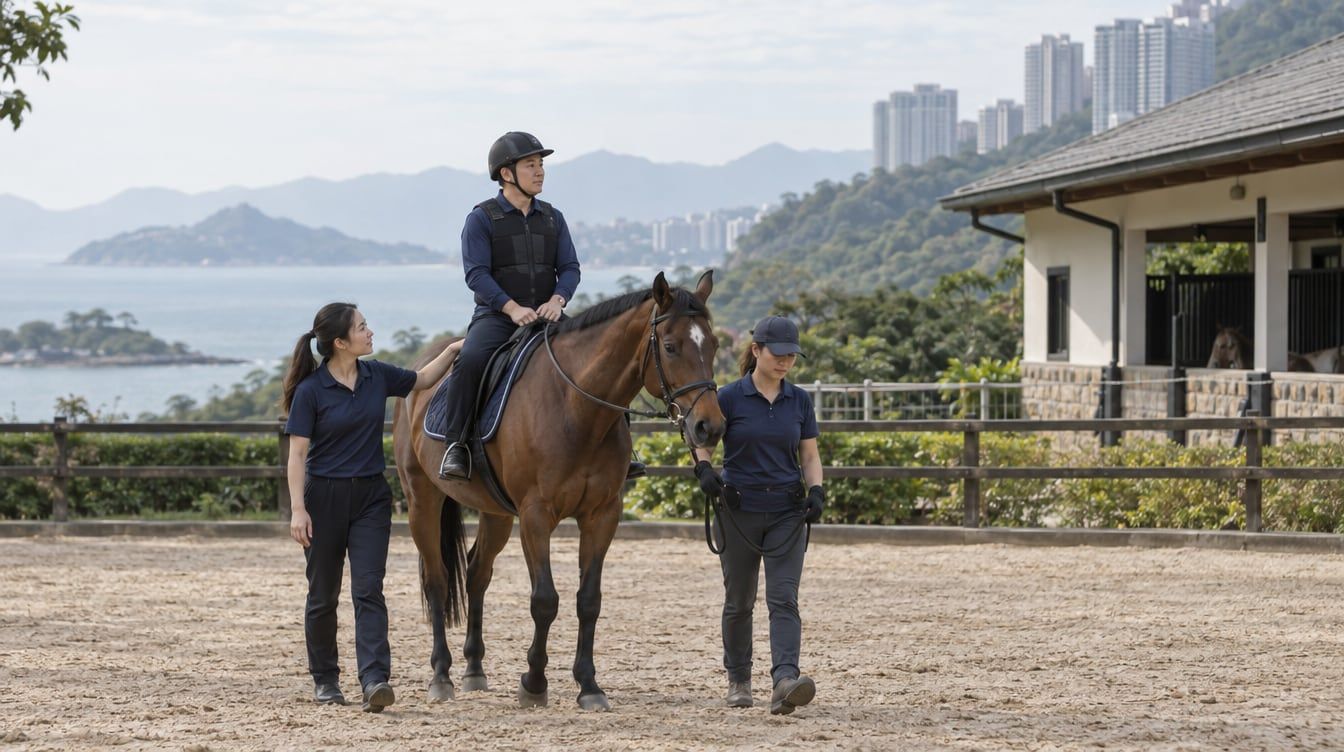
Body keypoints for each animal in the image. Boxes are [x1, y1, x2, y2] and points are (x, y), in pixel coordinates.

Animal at [392, 271, 725, 712]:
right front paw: (534, 683)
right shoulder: (536, 516)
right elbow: (545, 600)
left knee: (478, 572)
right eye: (670, 347)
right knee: (438, 580)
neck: (575, 408)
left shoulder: (602, 515)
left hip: (495, 513)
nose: (710, 427)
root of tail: (420, 370)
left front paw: (589, 685)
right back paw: (441, 675)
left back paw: (474, 670)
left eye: (714, 345)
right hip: (422, 499)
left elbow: (589, 600)